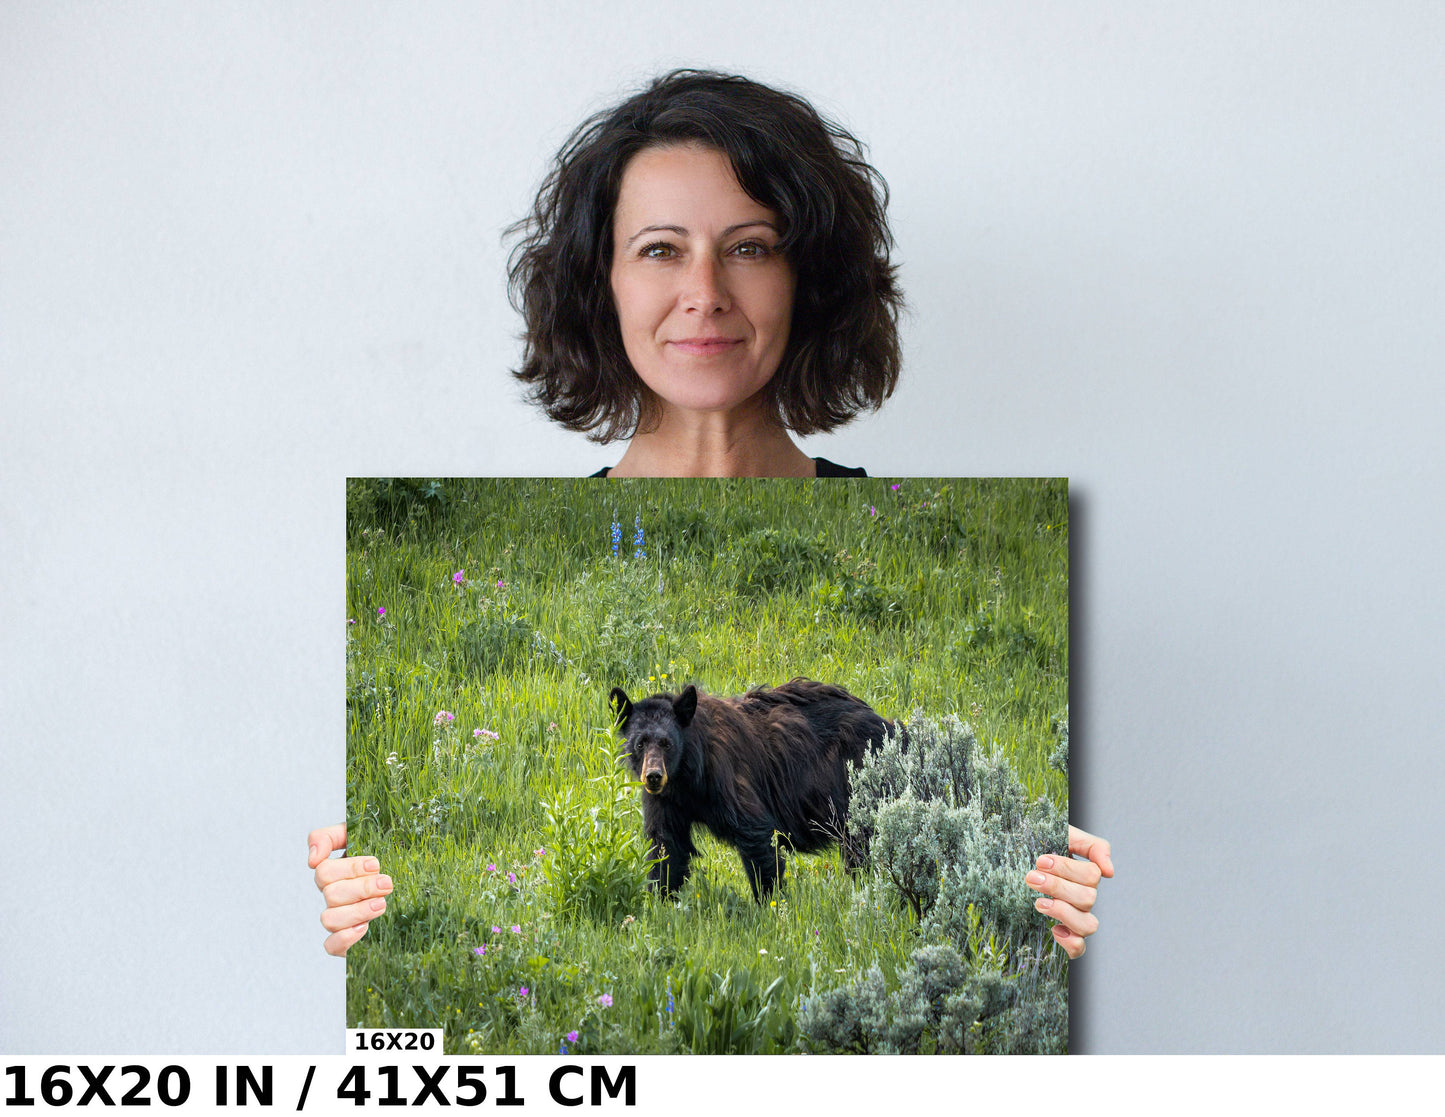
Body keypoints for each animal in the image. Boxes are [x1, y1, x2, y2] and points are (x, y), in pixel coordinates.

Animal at [608, 677, 900, 901]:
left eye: (667, 743)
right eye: (640, 743)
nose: (653, 776)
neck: (688, 775)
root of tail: (891, 725)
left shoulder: (727, 779)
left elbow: (755, 833)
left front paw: (770, 903)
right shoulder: (667, 801)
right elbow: (666, 845)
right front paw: (661, 900)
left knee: (861, 841)